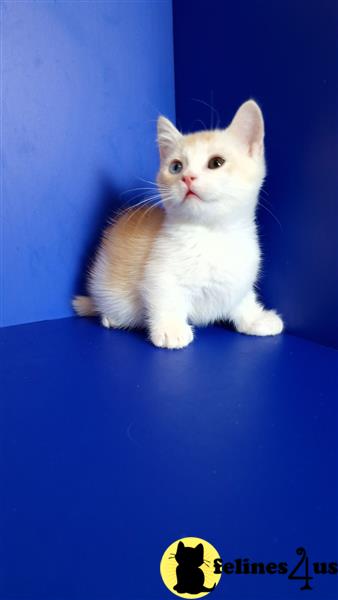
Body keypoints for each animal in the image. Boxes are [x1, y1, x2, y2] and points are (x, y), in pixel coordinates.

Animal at [73, 101, 282, 350]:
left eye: (216, 163)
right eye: (176, 167)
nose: (187, 177)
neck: (212, 234)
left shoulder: (239, 276)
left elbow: (242, 297)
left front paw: (255, 318)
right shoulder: (159, 271)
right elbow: (166, 297)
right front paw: (170, 330)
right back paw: (110, 318)